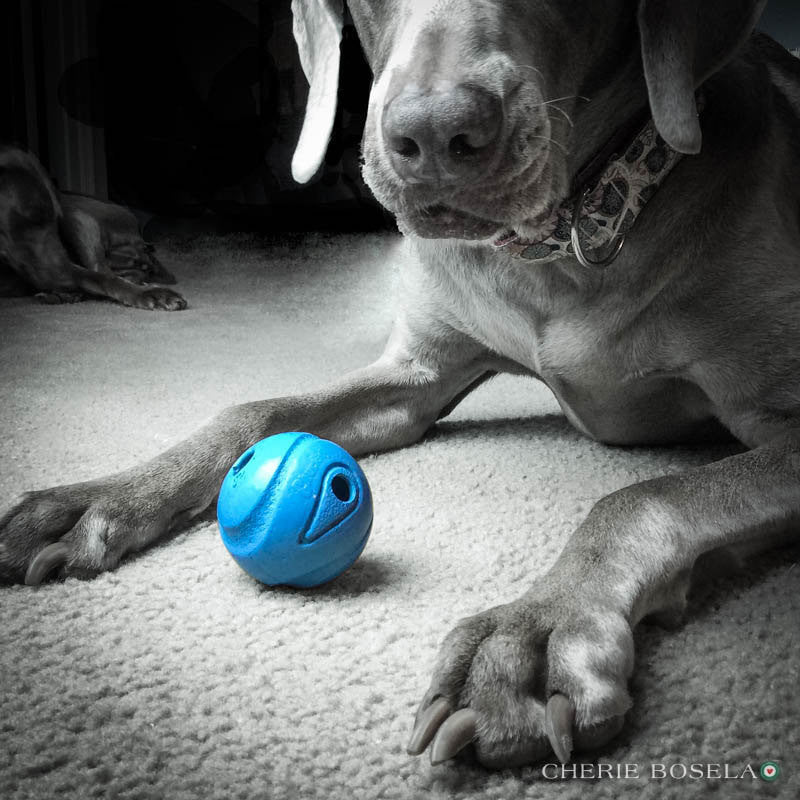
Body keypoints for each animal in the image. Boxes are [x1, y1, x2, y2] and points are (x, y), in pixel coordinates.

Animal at [0, 144, 186, 310]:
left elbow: (102, 279)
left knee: (104, 271)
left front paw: (152, 295)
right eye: (30, 216)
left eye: (55, 220)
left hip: (80, 219)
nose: (65, 275)